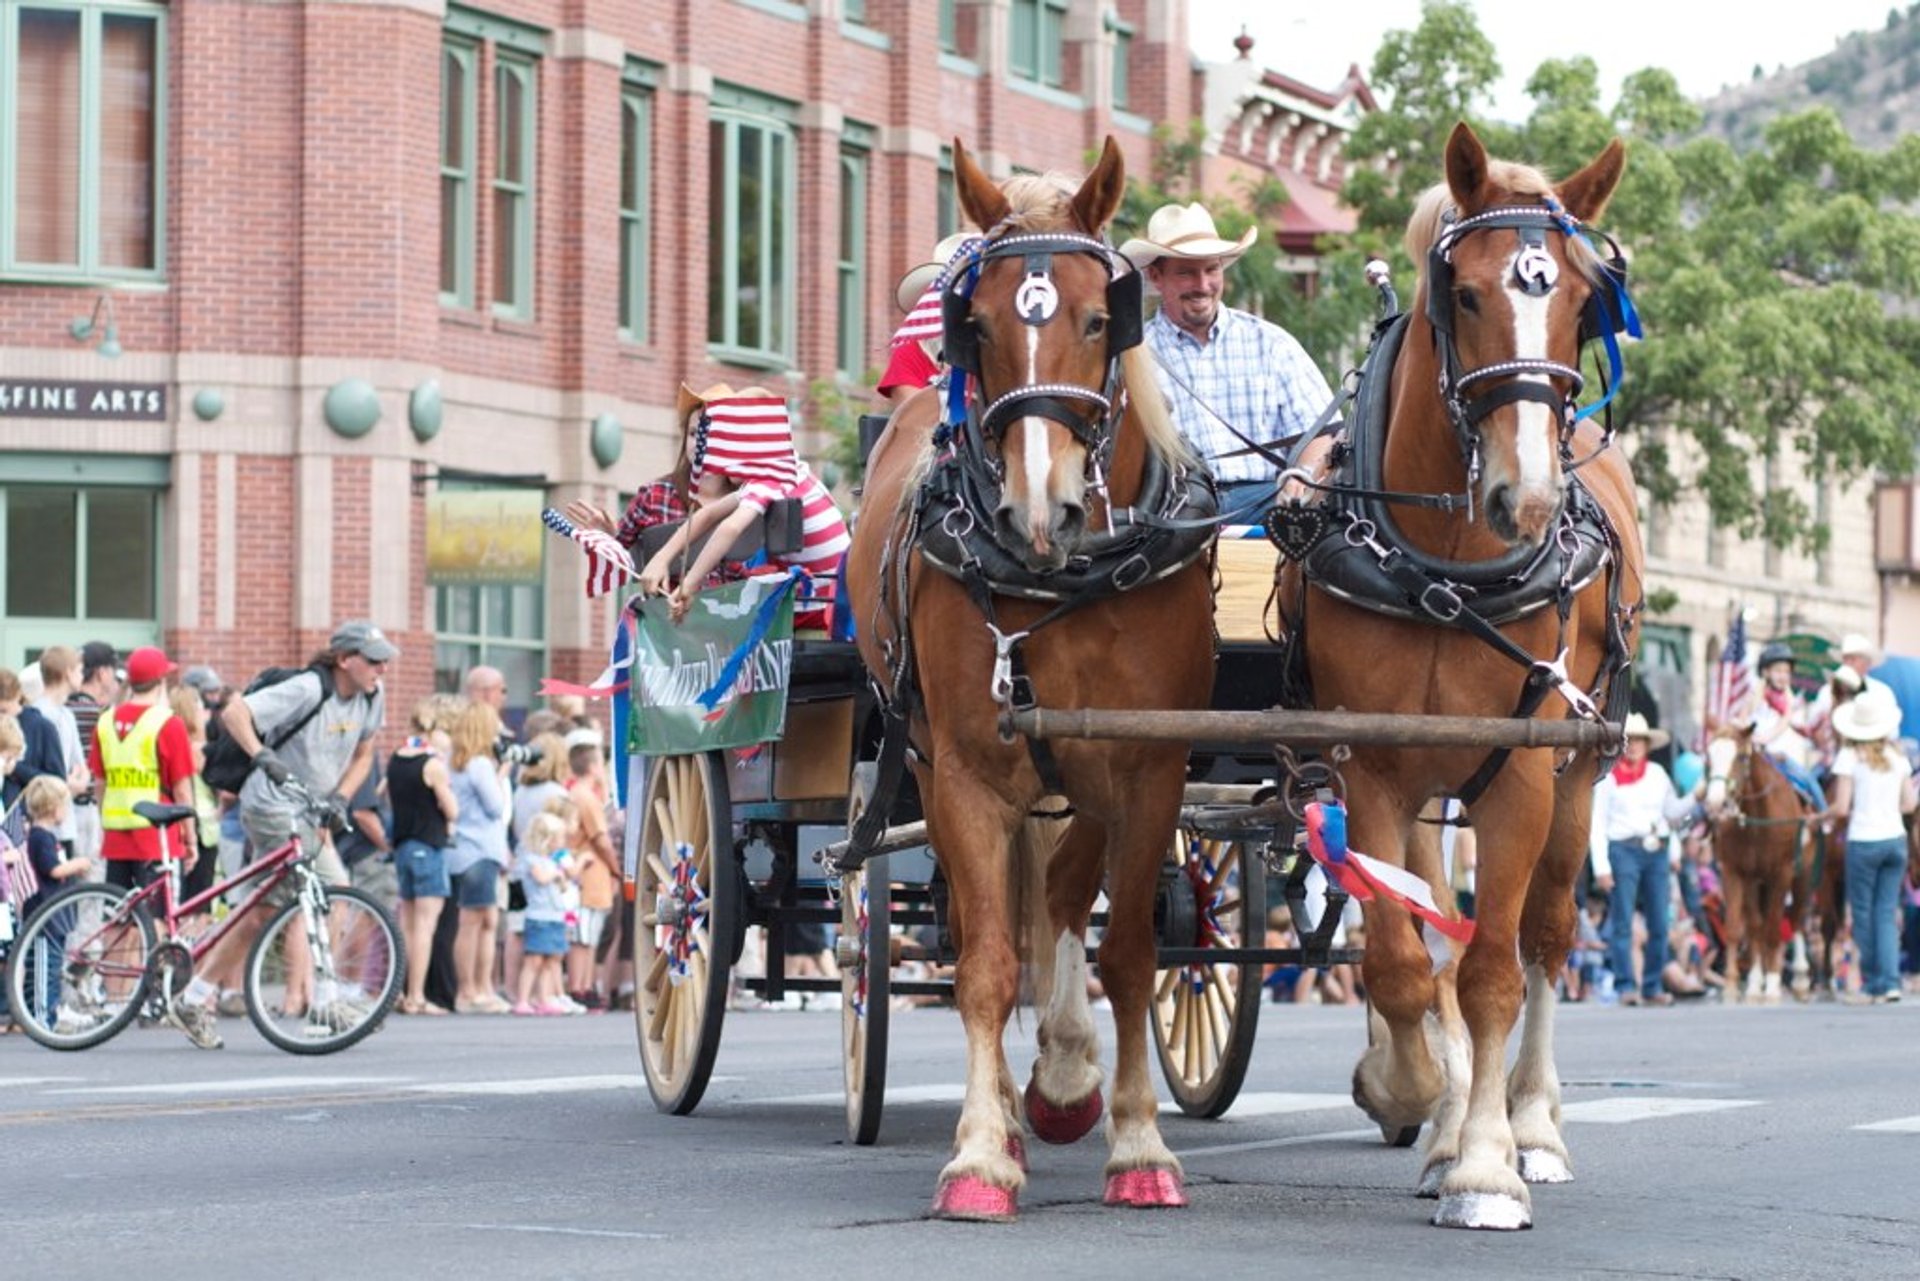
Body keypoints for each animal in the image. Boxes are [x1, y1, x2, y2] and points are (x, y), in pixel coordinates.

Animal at [844, 140, 1205, 1221]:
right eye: (979, 324)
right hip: (940, 766)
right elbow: (986, 964)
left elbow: (1122, 950)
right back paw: (1017, 1110)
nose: (1038, 506)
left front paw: (1134, 1141)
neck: (1063, 579)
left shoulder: (1144, 768)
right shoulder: (966, 772)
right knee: (995, 922)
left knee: (1063, 901)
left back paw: (1065, 1082)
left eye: (1099, 317)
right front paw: (979, 1155)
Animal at [1305, 122, 1651, 1229]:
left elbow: (1497, 970)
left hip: (1580, 777)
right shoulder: (1371, 767)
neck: (1445, 571)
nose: (1527, 498)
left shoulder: (1524, 771)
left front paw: (1493, 1168)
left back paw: (1533, 1124)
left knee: (1545, 938)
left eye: (1585, 301)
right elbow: (1406, 966)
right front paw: (1429, 1109)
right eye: (1461, 293)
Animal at [1712, 725, 1812, 1006]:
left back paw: (1799, 979)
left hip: (1801, 878)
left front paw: (1774, 987)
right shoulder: (1737, 873)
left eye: (1740, 757)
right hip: (1758, 884)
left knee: (1796, 920)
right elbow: (1741, 928)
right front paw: (1738, 986)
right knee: (1759, 925)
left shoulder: (1782, 874)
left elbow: (1773, 930)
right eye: (1708, 756)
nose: (1716, 802)